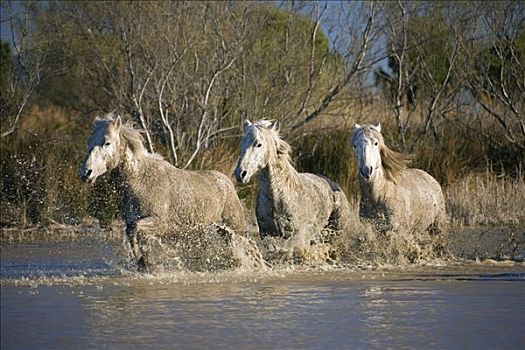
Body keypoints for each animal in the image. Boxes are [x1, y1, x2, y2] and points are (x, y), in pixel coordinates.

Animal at [79, 112, 246, 268]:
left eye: (107, 142)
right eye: (89, 142)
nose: (86, 173)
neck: (140, 180)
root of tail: (228, 182)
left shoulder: (159, 223)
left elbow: (135, 229)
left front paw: (143, 260)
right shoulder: (132, 221)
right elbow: (131, 233)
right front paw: (143, 261)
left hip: (234, 228)